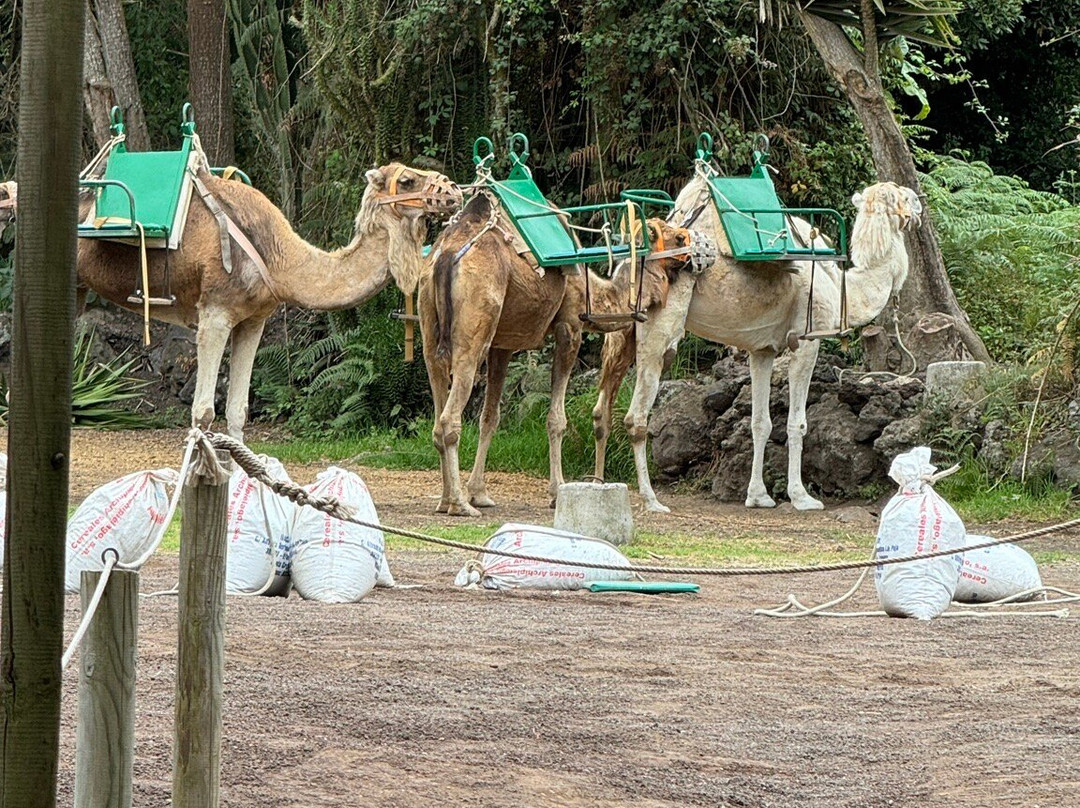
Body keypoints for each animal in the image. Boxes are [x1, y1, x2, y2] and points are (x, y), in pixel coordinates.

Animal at [4, 165, 462, 438]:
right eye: (408, 180)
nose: (455, 191)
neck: (280, 257)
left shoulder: (253, 320)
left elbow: (238, 410)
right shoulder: (215, 313)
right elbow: (203, 411)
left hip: (77, 290)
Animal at [419, 191, 710, 516]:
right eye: (679, 236)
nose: (702, 252)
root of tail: (446, 256)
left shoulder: (503, 343)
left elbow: (490, 417)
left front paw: (480, 493)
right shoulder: (569, 326)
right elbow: (556, 419)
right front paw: (557, 492)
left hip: (429, 328)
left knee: (437, 413)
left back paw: (445, 500)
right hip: (473, 329)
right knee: (449, 418)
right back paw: (459, 505)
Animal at [592, 178, 922, 512]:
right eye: (904, 197)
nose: (920, 204)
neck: (842, 288)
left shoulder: (762, 351)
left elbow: (760, 423)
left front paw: (758, 496)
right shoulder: (807, 340)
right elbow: (797, 423)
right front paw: (801, 497)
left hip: (623, 330)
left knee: (600, 410)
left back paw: (595, 487)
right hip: (660, 329)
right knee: (635, 417)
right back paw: (651, 500)